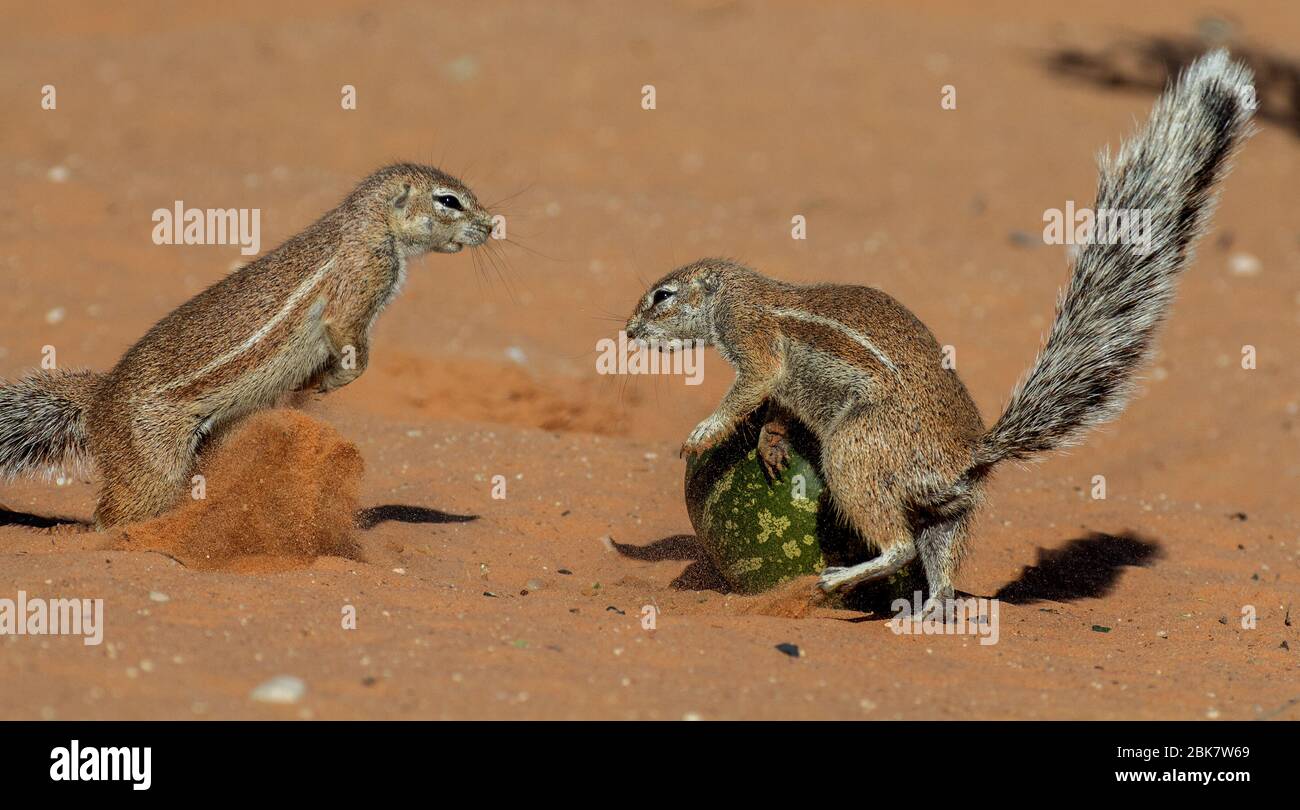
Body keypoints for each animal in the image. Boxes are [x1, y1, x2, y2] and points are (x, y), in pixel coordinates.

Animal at [0, 165, 491, 533]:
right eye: (449, 201)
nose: (491, 225)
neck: (366, 226)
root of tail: (99, 399)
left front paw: (310, 386)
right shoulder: (358, 288)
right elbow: (356, 352)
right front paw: (329, 383)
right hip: (152, 462)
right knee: (112, 514)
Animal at [624, 49, 1253, 613]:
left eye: (662, 297)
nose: (629, 332)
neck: (739, 292)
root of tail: (968, 455)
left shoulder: (752, 336)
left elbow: (753, 384)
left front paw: (703, 433)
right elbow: (773, 405)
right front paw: (768, 442)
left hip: (857, 450)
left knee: (899, 544)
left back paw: (841, 580)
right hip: (946, 510)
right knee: (937, 555)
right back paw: (930, 609)